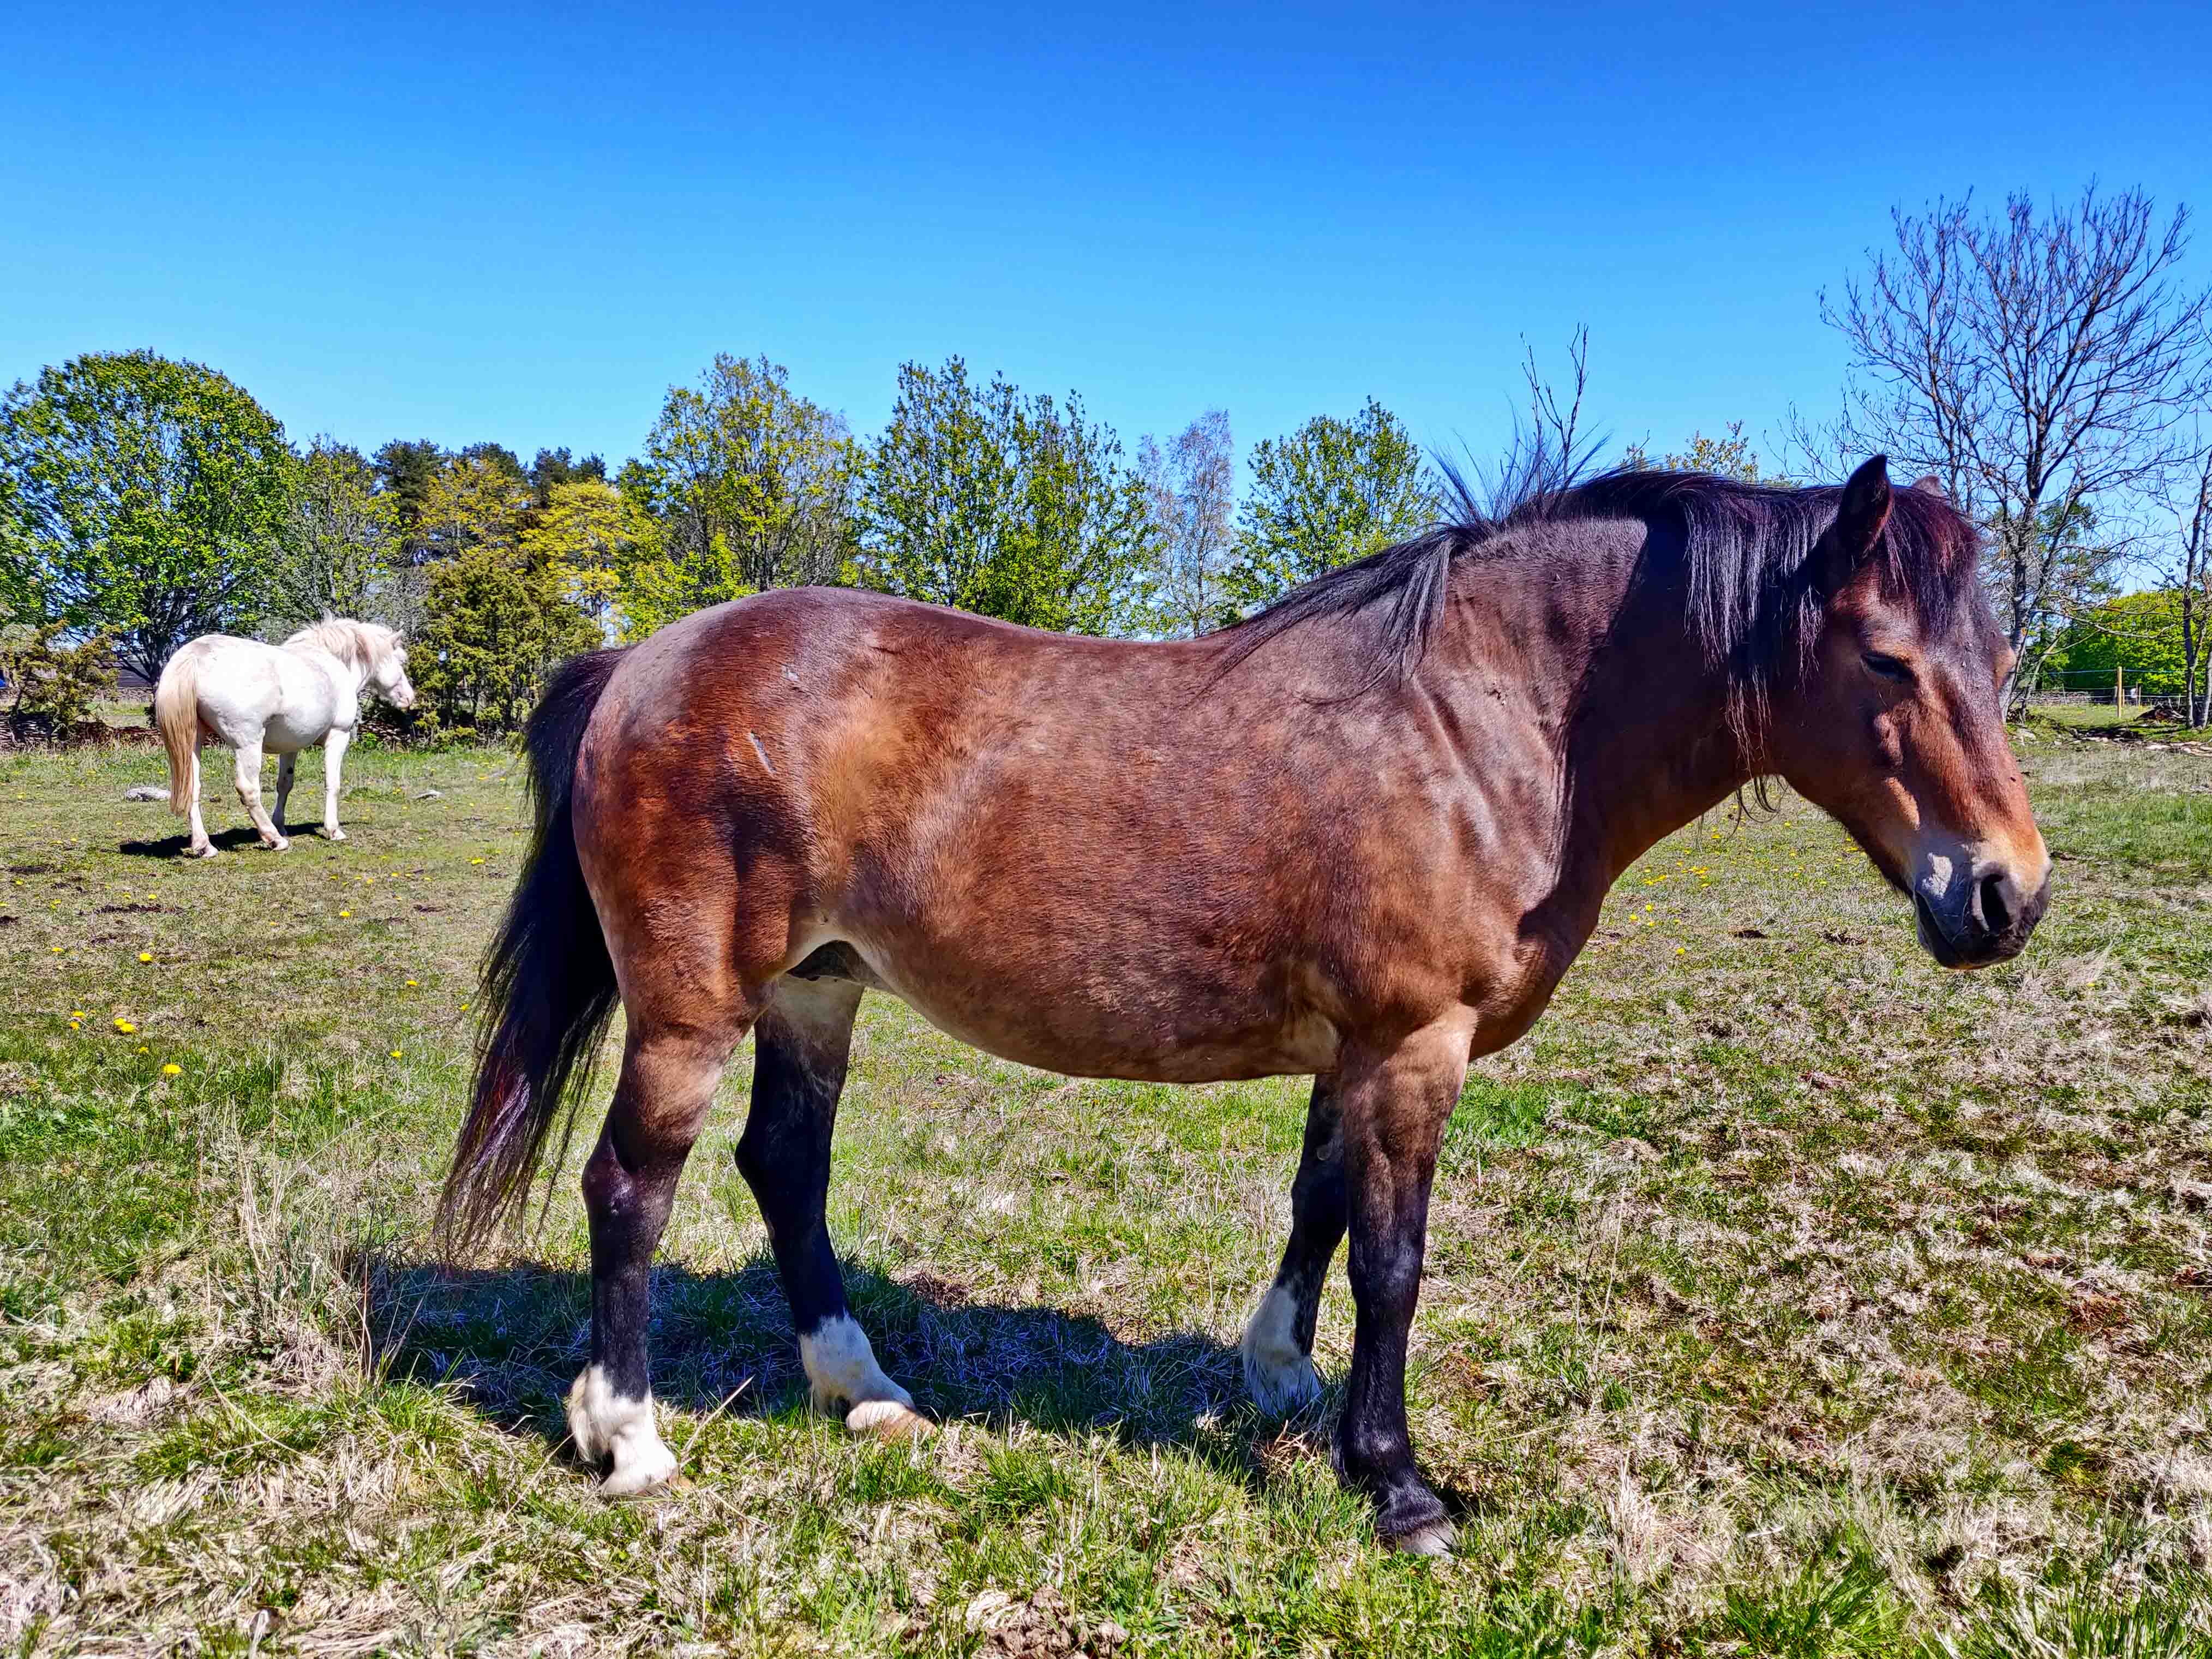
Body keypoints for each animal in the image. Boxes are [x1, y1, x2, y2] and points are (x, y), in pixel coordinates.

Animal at [153, 618, 417, 857]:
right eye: (401, 661)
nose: (409, 698)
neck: (331, 664)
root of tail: (194, 656)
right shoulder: (338, 737)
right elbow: (333, 784)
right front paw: (333, 830)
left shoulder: (291, 747)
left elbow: (285, 784)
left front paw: (281, 824)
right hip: (247, 744)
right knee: (248, 789)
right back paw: (274, 839)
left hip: (193, 742)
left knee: (193, 786)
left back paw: (205, 846)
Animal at [439, 456, 2048, 1553]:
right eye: (1884, 658)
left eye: (1999, 657)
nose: (2003, 894)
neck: (1481, 718)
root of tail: (641, 657)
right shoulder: (1414, 1046)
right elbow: (1392, 1258)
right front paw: (1396, 1481)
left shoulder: (1358, 1050)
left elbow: (1318, 1203)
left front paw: (1281, 1377)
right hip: (693, 1007)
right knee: (630, 1188)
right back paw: (627, 1435)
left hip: (815, 991)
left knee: (785, 1168)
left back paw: (863, 1386)